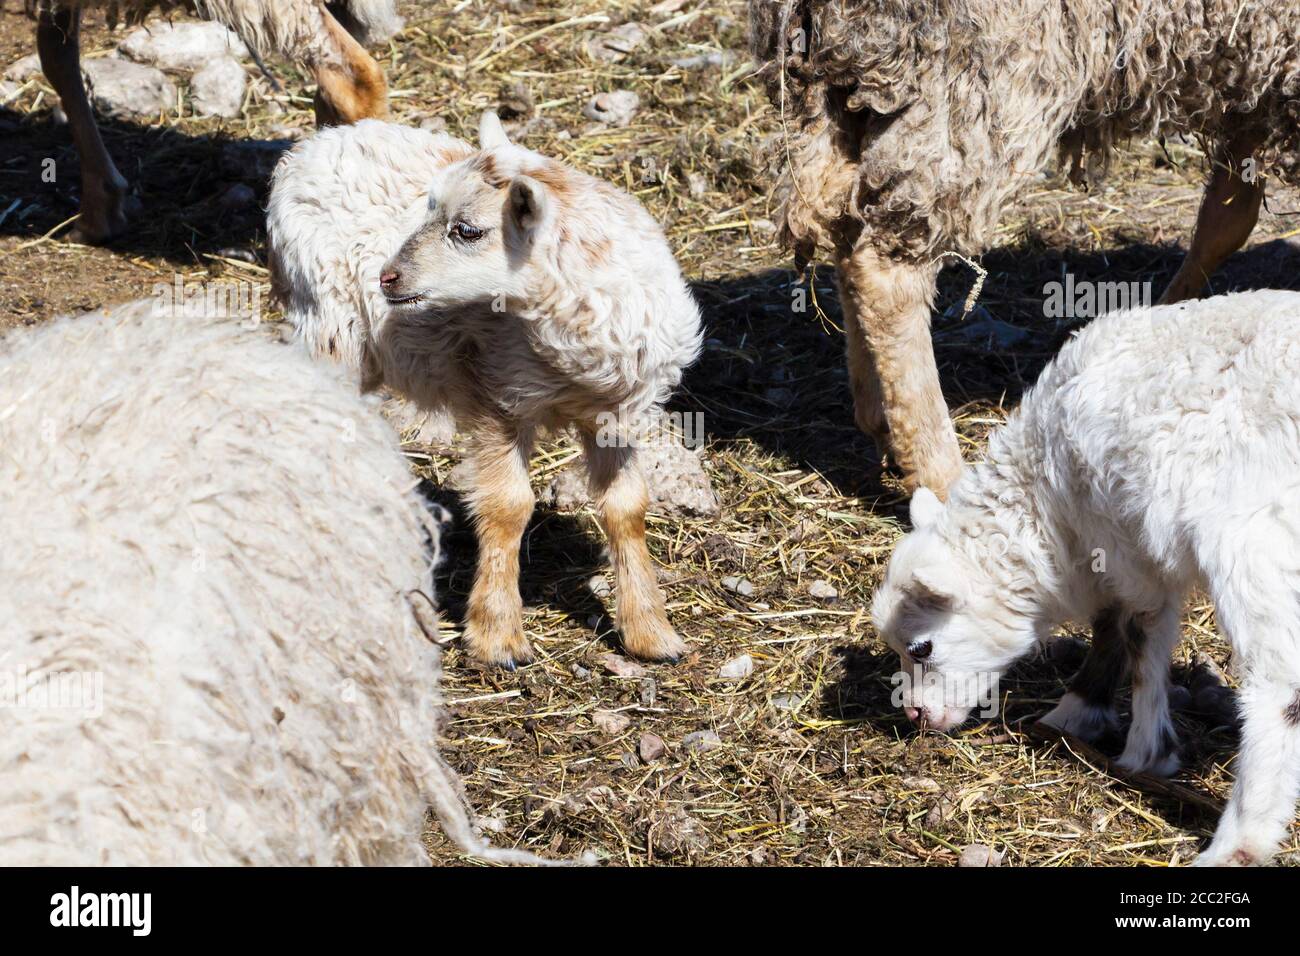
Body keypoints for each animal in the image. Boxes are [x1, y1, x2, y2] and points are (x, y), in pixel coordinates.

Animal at [266, 115, 712, 671]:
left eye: (468, 231)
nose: (387, 277)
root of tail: (311, 146)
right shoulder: (499, 392)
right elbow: (508, 506)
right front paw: (498, 636)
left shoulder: (619, 413)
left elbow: (627, 509)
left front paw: (651, 632)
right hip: (329, 326)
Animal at [748, 1, 1300, 502]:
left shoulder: (1253, 73)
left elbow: (1227, 218)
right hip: (976, 84)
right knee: (887, 271)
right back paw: (942, 476)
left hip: (848, 96)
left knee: (849, 233)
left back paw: (879, 420)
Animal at [868, 291, 1300, 868]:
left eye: (922, 647)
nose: (915, 715)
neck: (1047, 499)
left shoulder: (1123, 538)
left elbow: (1131, 628)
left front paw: (1114, 732)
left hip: (1253, 540)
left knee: (1280, 682)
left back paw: (1240, 841)